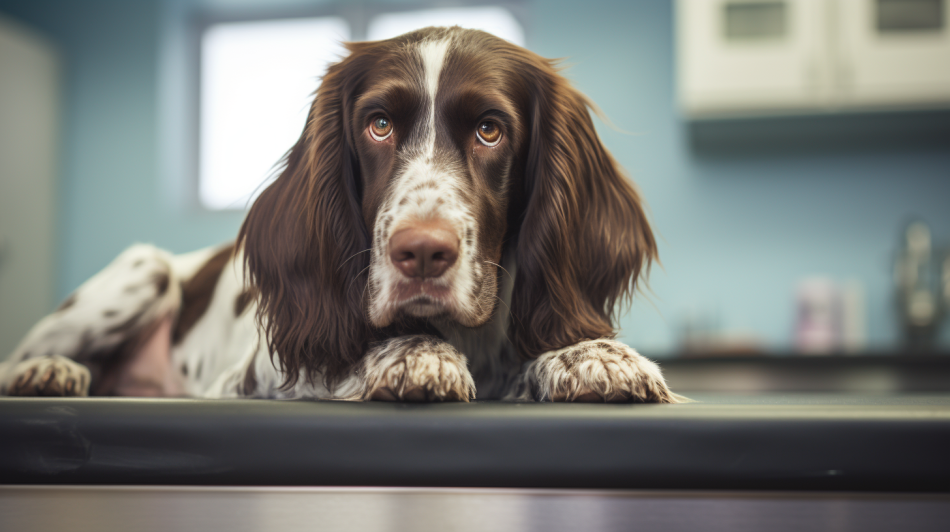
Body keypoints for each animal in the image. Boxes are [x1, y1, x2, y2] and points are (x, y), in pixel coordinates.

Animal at [1, 26, 684, 404]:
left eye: (490, 130)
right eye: (378, 124)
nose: (422, 253)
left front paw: (591, 355)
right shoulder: (255, 373)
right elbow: (341, 344)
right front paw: (408, 351)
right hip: (145, 270)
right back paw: (46, 369)